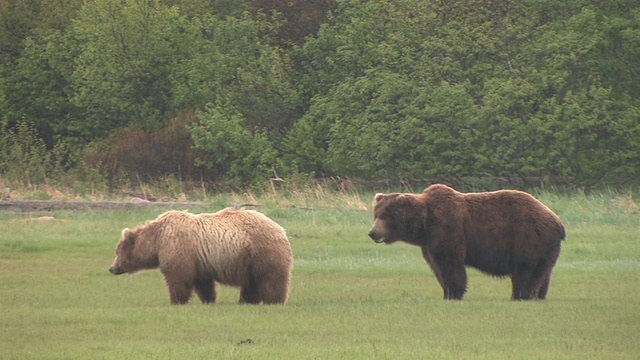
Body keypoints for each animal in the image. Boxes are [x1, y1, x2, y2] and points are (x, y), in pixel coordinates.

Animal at [109, 208, 292, 304]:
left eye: (117, 252)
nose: (112, 268)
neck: (158, 240)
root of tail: (281, 229)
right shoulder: (199, 261)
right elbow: (203, 283)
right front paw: (208, 300)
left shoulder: (178, 249)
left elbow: (178, 278)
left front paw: (176, 301)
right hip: (250, 262)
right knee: (251, 283)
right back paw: (246, 301)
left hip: (262, 252)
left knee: (271, 279)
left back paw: (274, 301)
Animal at [370, 184, 564, 300]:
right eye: (376, 215)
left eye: (386, 216)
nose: (372, 233)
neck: (425, 225)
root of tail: (558, 222)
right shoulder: (429, 244)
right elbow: (437, 267)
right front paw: (447, 292)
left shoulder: (448, 229)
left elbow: (450, 264)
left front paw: (454, 293)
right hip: (546, 248)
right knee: (543, 273)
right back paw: (538, 295)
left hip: (528, 238)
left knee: (526, 271)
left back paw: (520, 296)